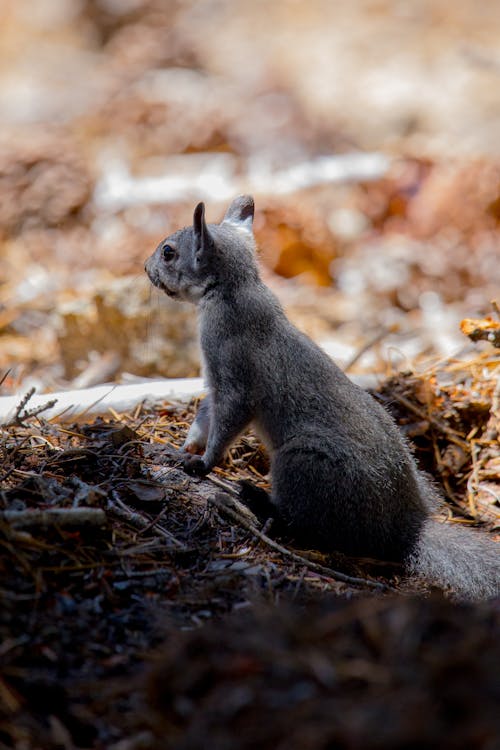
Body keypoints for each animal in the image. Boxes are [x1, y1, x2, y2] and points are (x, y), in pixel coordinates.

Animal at [143, 197, 498, 604]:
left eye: (169, 252)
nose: (146, 268)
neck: (232, 289)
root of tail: (404, 526)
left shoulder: (232, 370)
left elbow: (228, 418)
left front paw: (201, 464)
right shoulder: (214, 381)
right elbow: (205, 415)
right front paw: (185, 447)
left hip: (303, 462)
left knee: (305, 524)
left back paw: (257, 499)